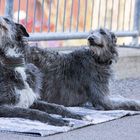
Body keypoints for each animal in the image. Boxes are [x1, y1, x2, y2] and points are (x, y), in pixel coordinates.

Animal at [0, 16, 140, 126]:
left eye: (102, 32)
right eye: (92, 32)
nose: (90, 38)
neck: (96, 58)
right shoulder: (103, 100)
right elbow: (125, 102)